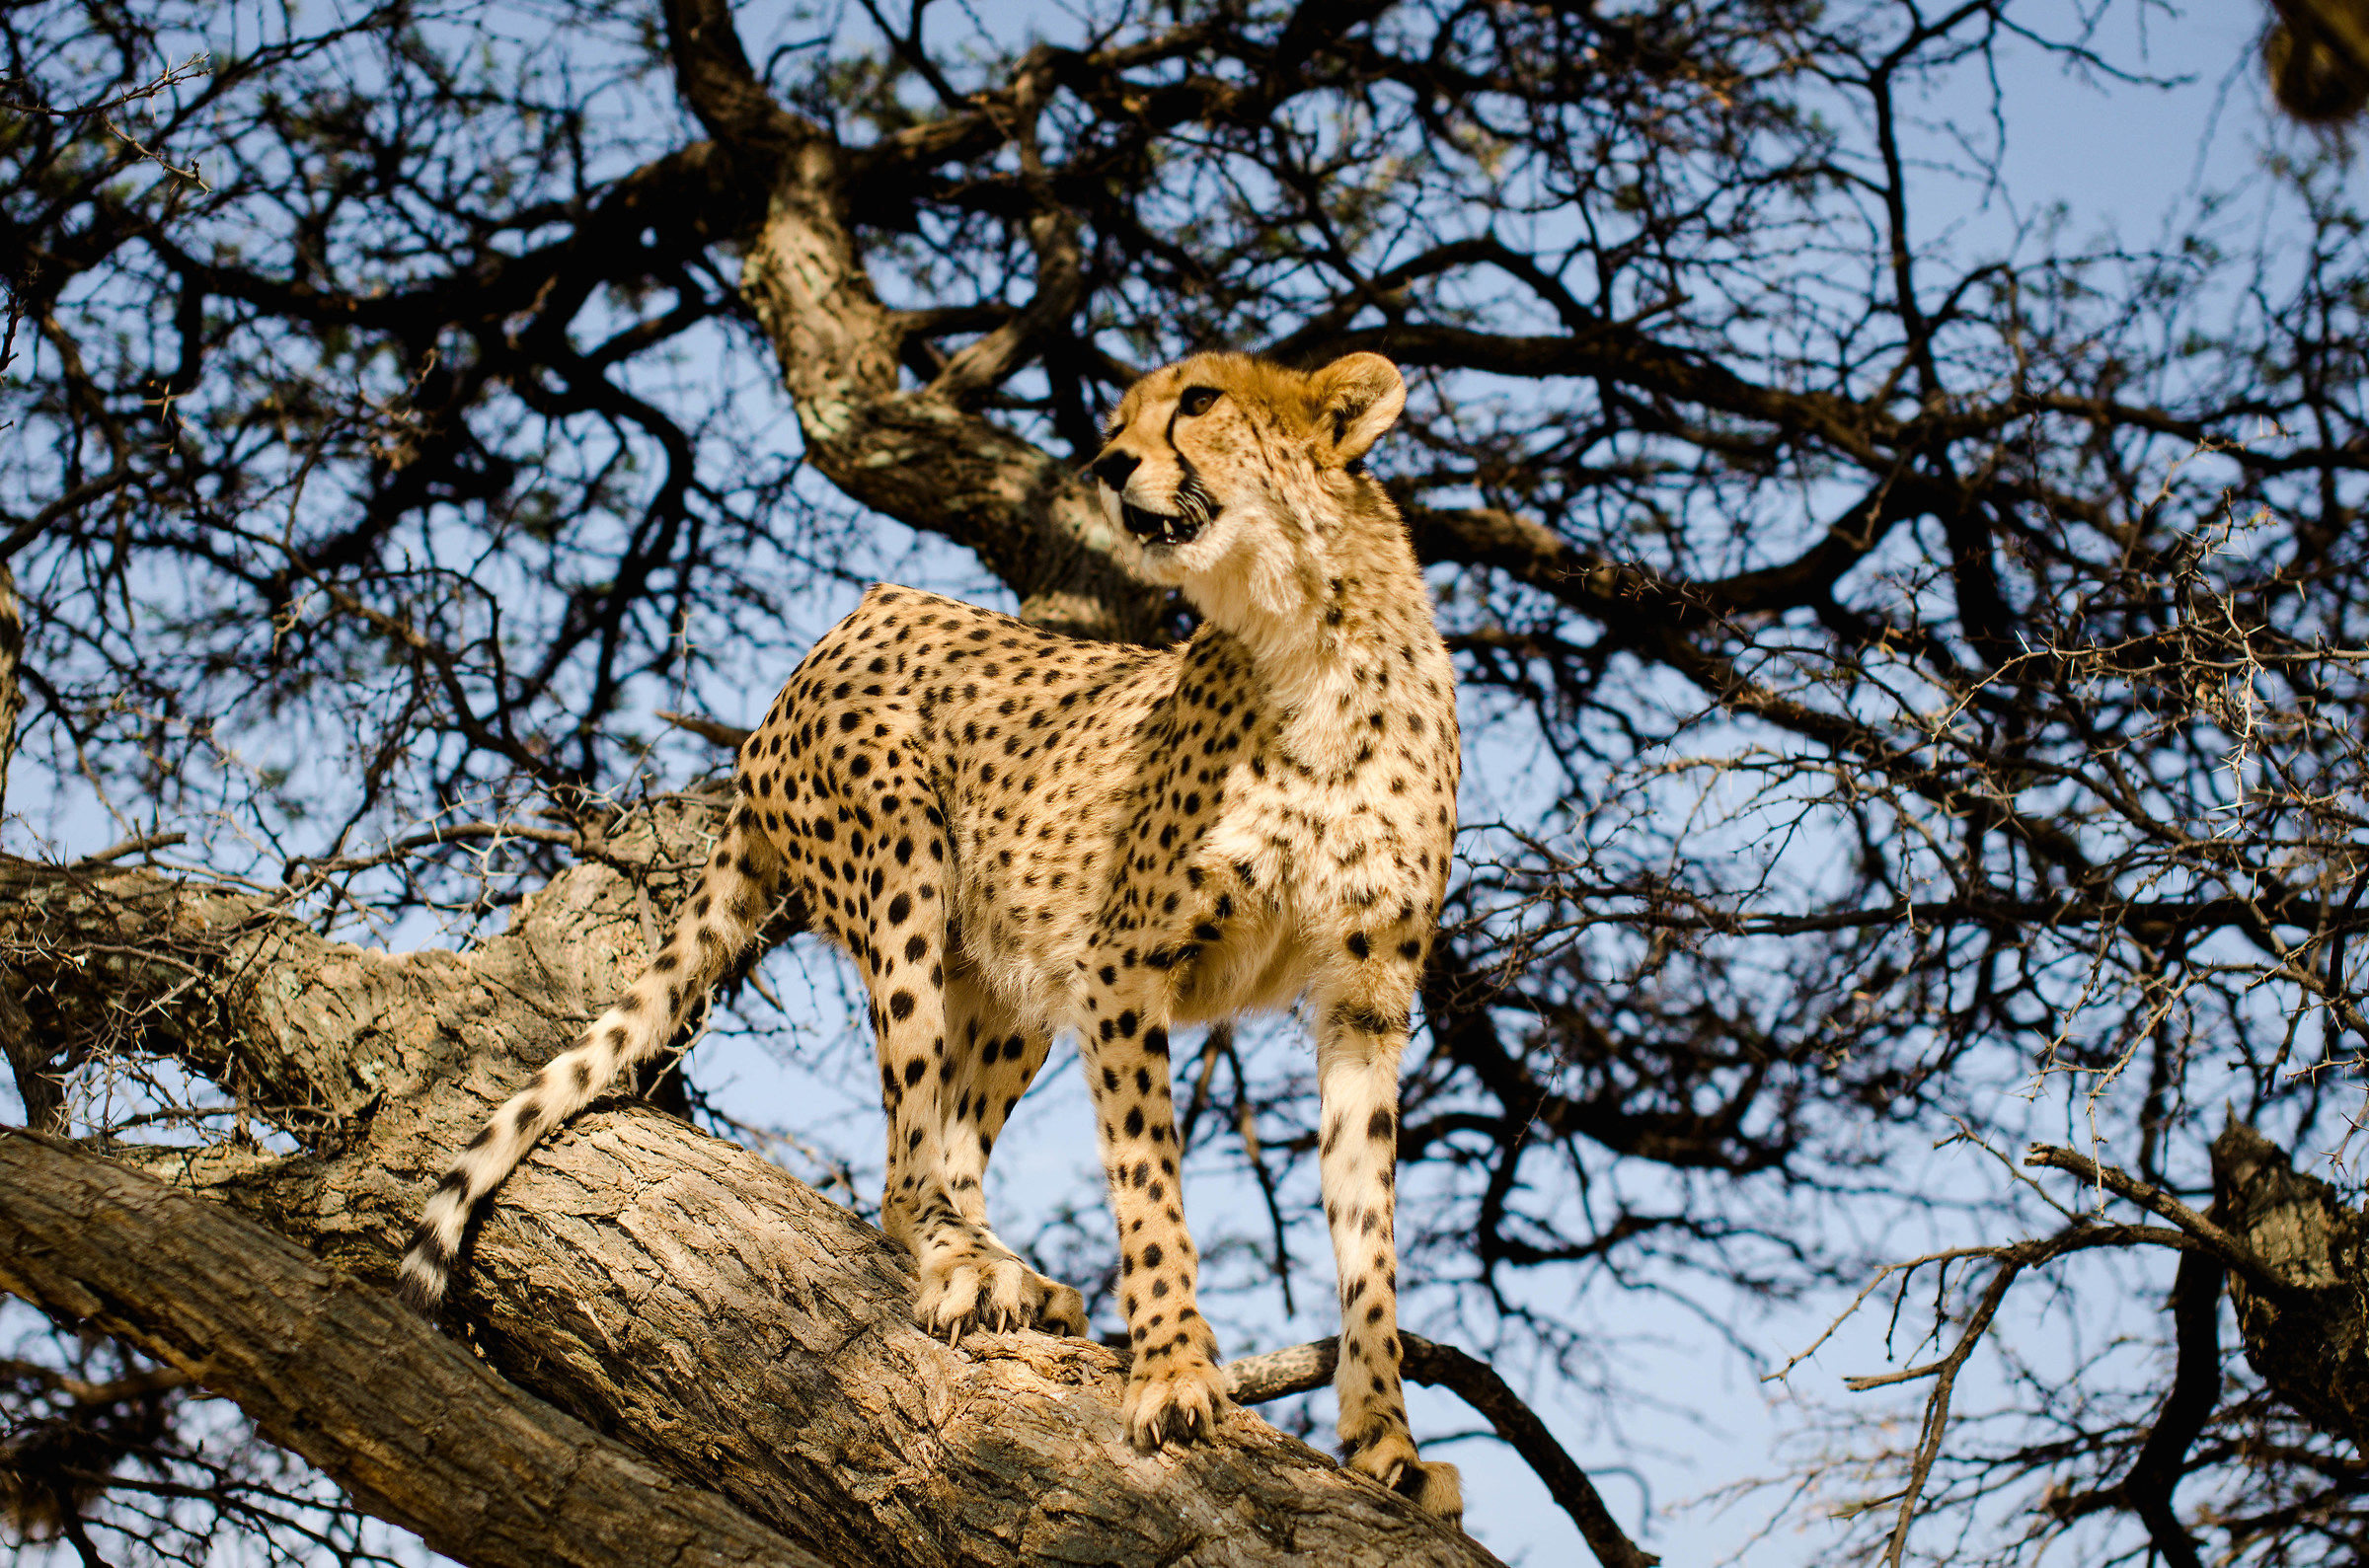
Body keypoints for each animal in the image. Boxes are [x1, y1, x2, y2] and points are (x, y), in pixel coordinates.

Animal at [398, 350, 1465, 1521]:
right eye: (1121, 414)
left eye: (1199, 402)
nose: (1107, 464)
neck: (1310, 641)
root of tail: (854, 617)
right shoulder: (1125, 965)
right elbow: (1152, 1187)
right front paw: (1176, 1367)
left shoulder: (1364, 1003)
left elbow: (1370, 1230)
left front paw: (1385, 1444)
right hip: (900, 857)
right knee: (906, 1156)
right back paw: (962, 1261)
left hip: (1015, 968)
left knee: (951, 1132)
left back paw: (1006, 1264)